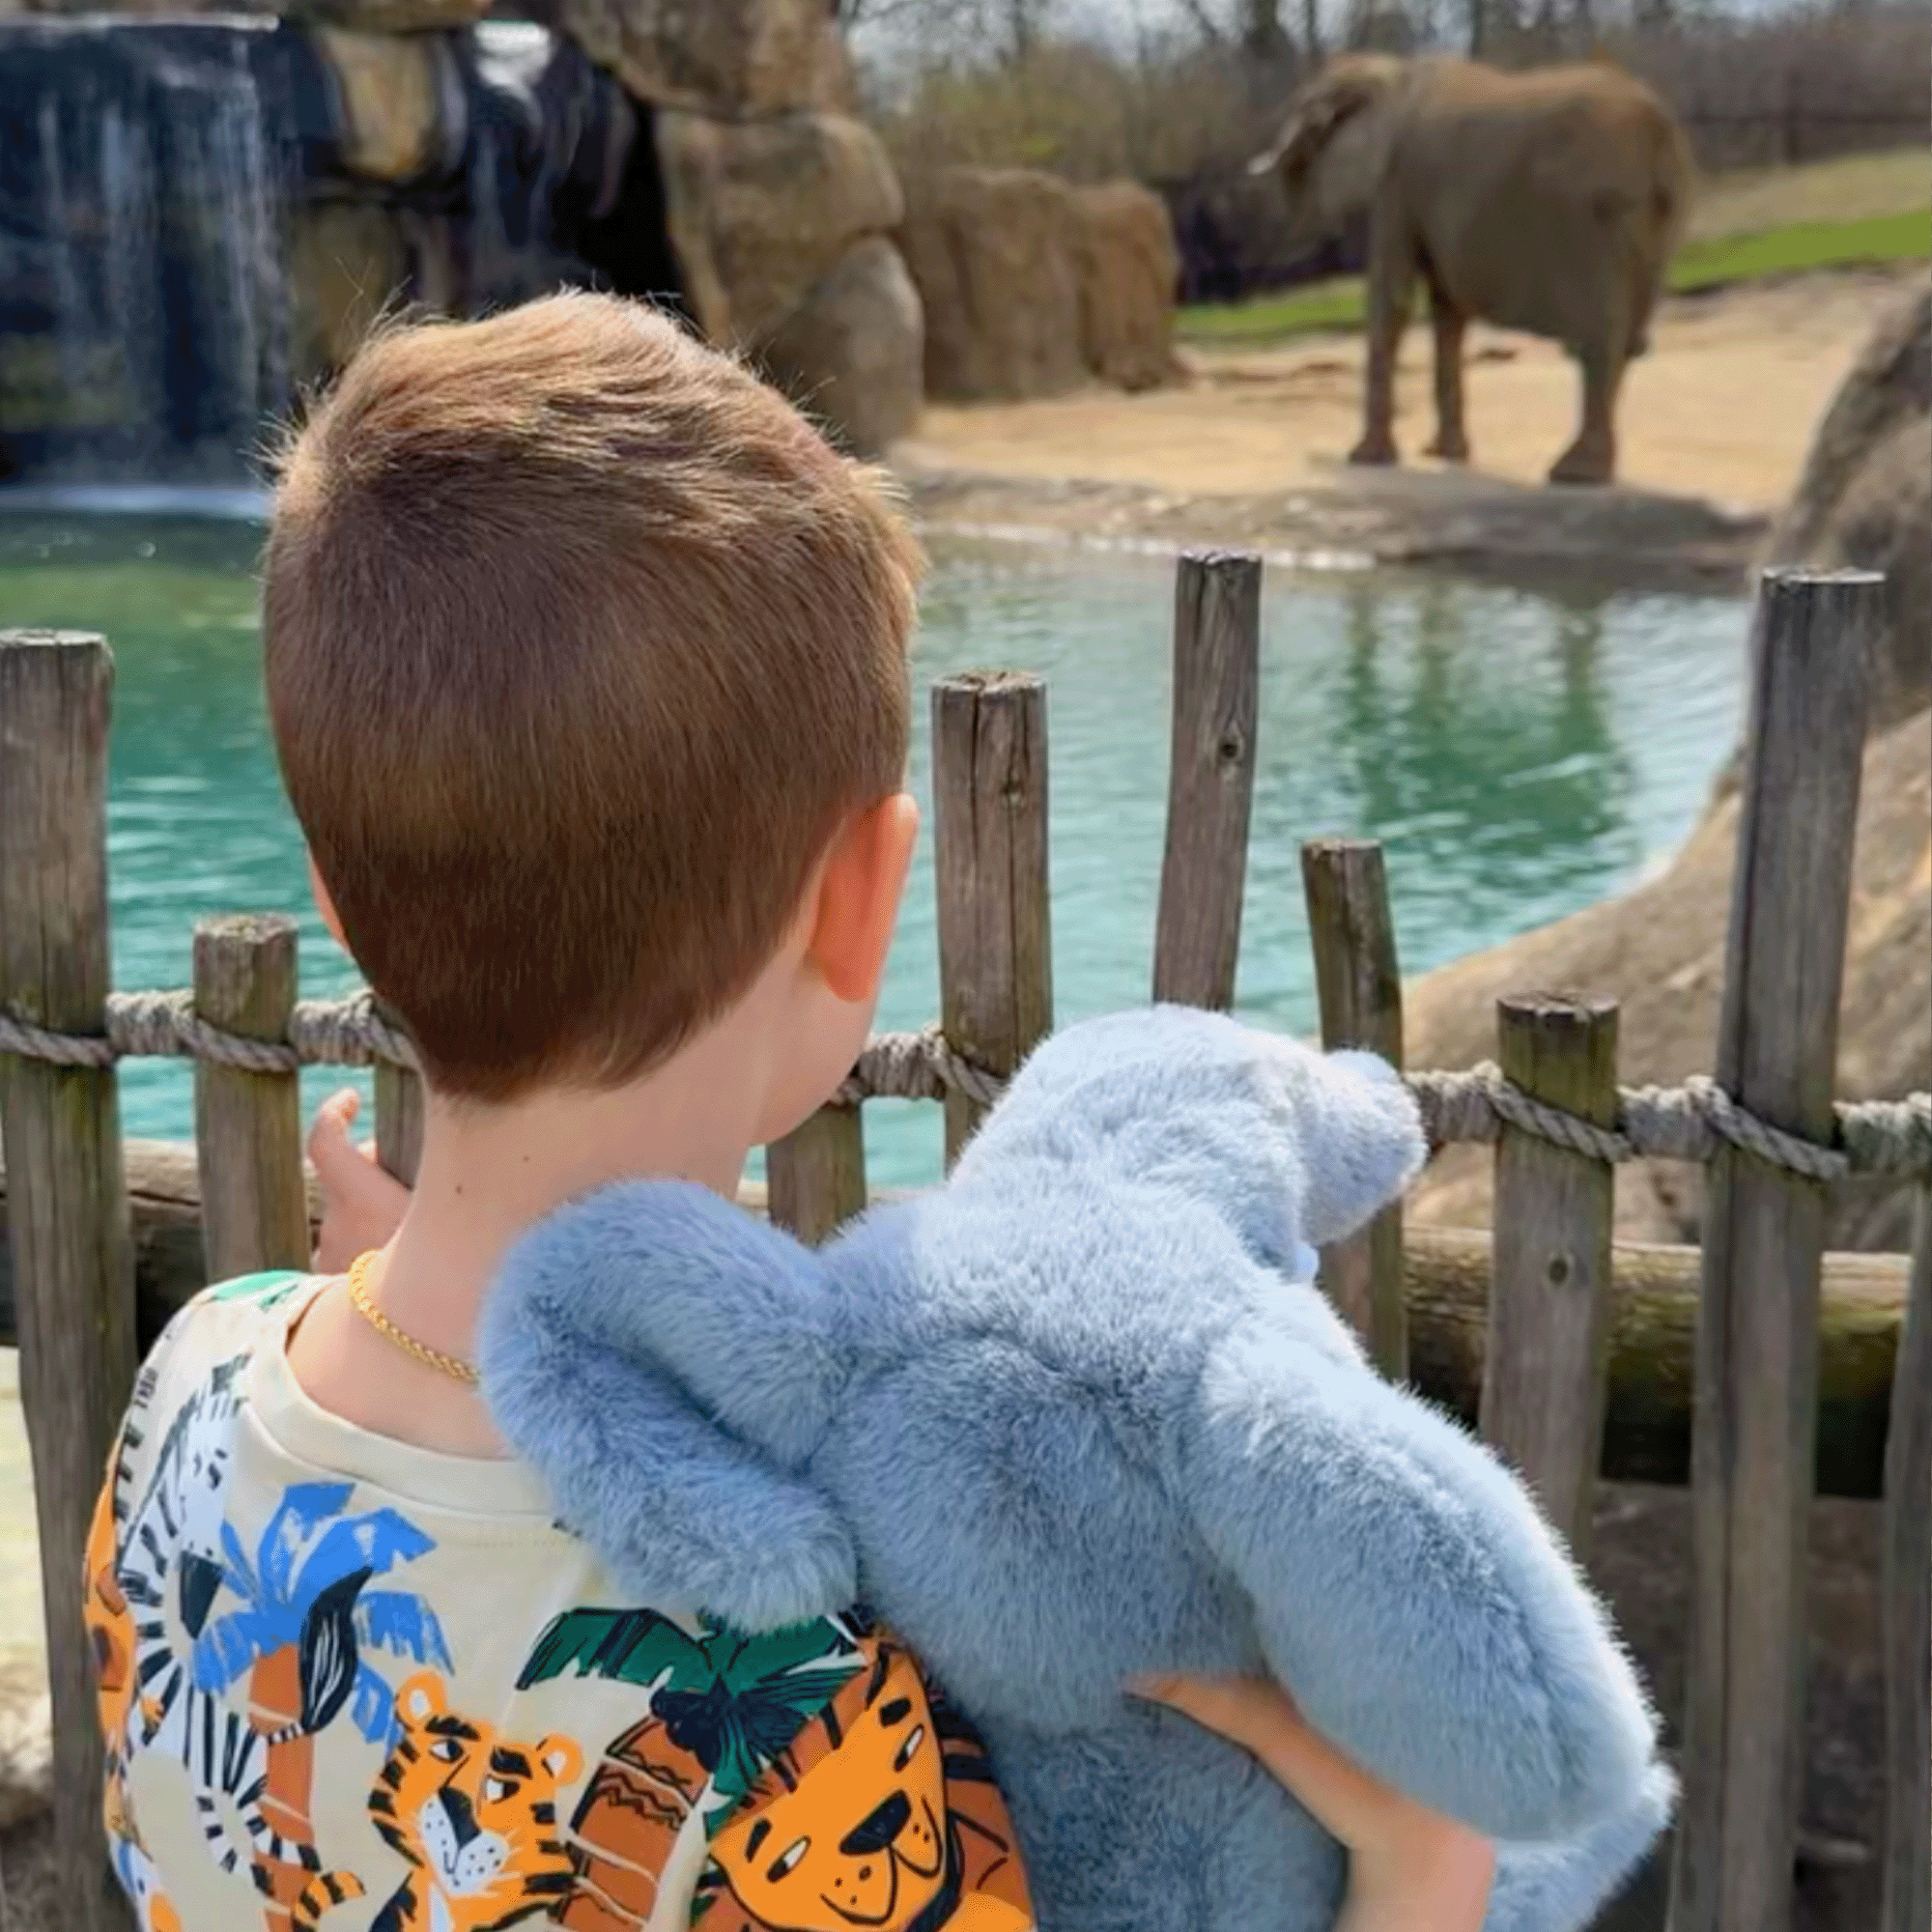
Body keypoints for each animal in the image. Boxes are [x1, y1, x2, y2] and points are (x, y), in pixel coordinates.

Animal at [1251, 54, 1694, 485]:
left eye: (1308, 120)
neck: (1390, 72)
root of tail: (1658, 128)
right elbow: (1447, 310)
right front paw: (1444, 454)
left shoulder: (1395, 186)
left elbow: (1392, 299)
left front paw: (1364, 459)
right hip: (1658, 219)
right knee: (1628, 340)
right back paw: (1589, 469)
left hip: (1599, 217)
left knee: (1600, 338)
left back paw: (1573, 474)